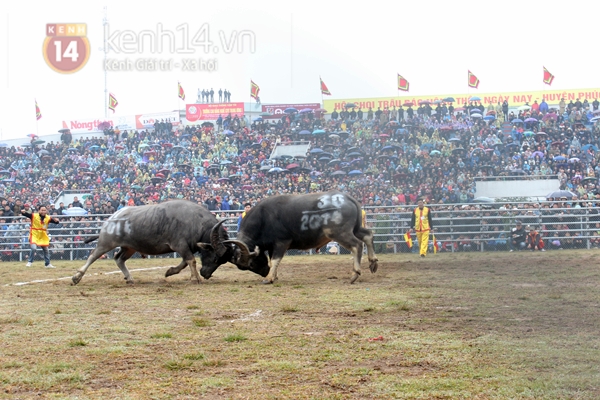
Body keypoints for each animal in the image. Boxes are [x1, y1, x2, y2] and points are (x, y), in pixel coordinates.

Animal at [72, 200, 234, 284]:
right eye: (215, 258)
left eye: (222, 261)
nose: (206, 274)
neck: (196, 222)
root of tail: (112, 218)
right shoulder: (180, 245)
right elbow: (191, 261)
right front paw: (196, 278)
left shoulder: (186, 248)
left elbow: (184, 262)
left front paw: (170, 271)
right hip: (106, 242)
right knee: (93, 255)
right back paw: (77, 277)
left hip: (129, 248)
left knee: (119, 259)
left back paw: (129, 278)